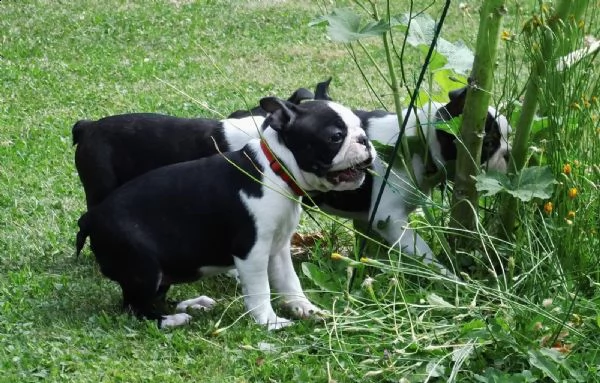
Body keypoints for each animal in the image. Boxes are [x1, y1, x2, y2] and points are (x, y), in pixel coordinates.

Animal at [75, 99, 376, 330]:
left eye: (361, 129)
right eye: (335, 137)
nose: (365, 140)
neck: (276, 170)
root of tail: (91, 218)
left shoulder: (278, 248)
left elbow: (290, 282)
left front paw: (306, 309)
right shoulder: (252, 251)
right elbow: (261, 289)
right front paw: (269, 322)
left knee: (153, 299)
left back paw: (192, 304)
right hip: (144, 266)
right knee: (134, 308)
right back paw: (173, 319)